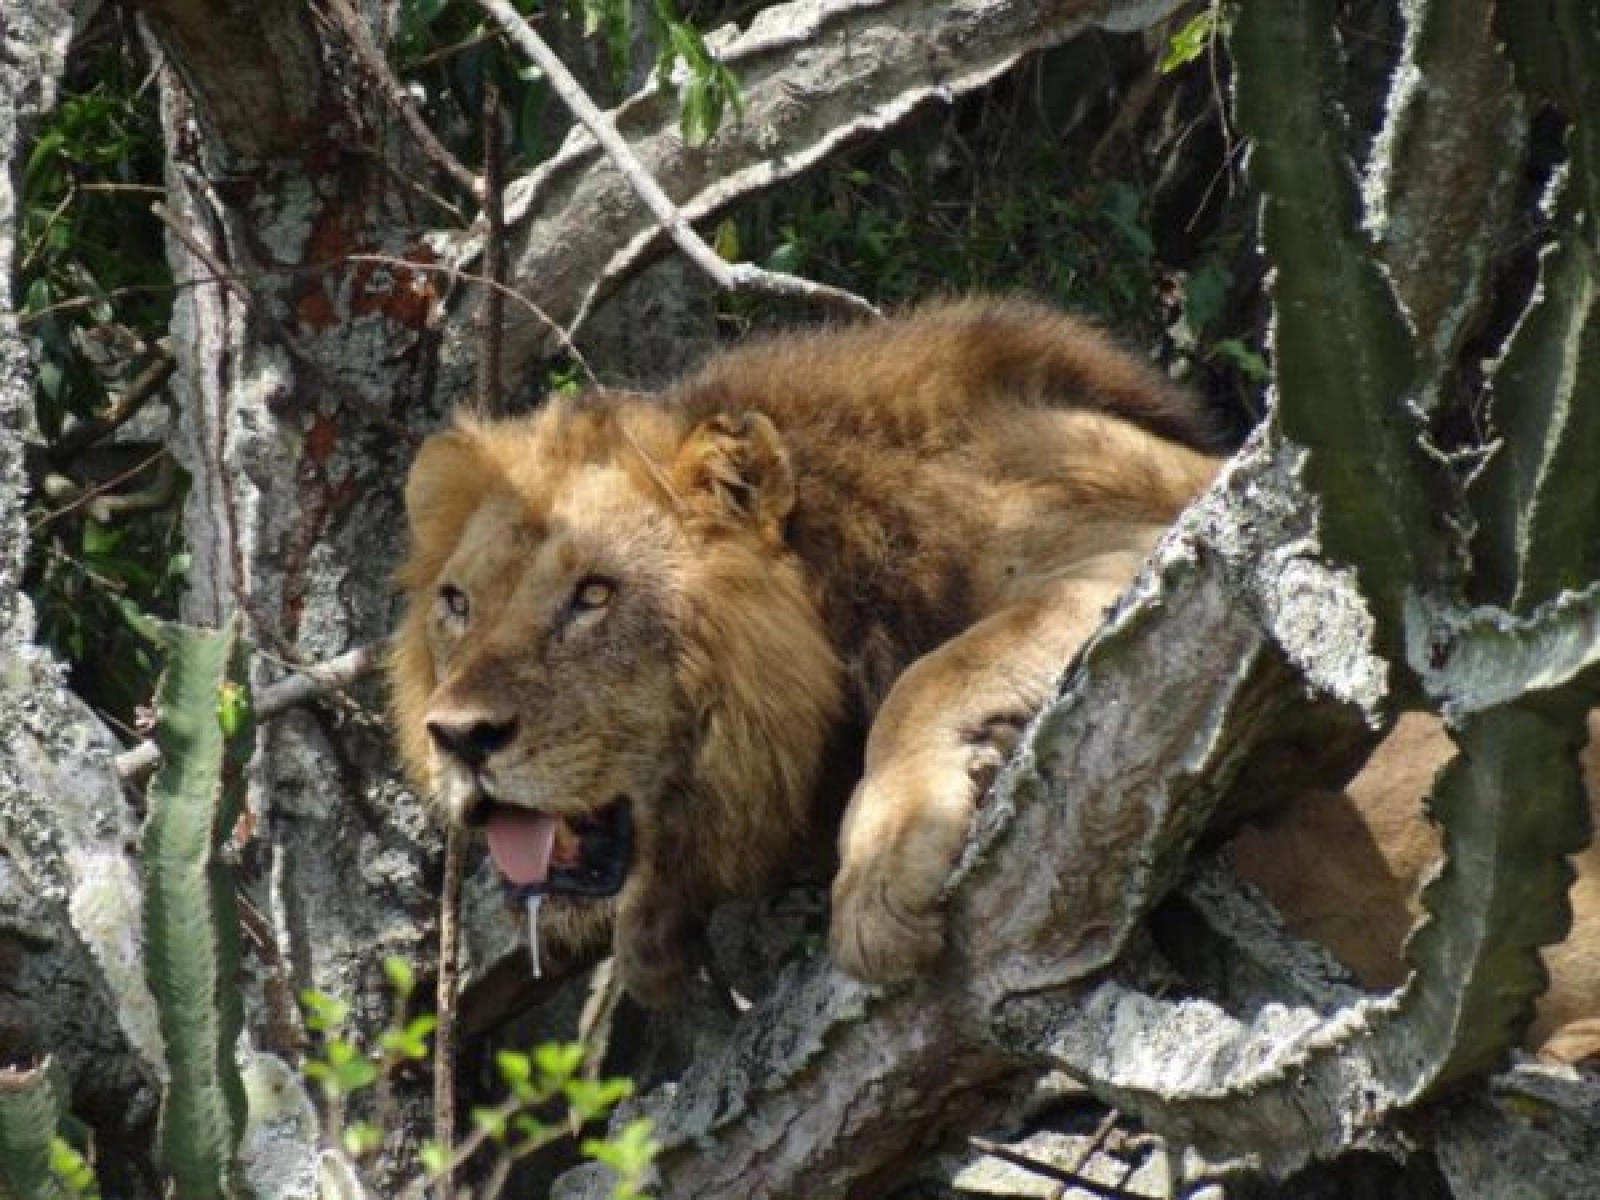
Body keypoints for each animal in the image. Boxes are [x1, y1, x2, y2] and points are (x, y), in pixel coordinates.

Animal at [389, 297, 1598, 1060]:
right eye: (457, 605)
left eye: (593, 595)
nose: (458, 737)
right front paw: (649, 931)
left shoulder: (1157, 547)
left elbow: (937, 669)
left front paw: (879, 884)